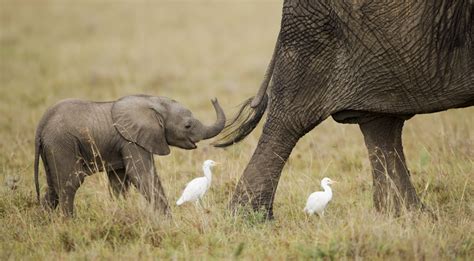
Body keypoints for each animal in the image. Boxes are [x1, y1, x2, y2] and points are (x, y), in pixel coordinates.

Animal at [33, 93, 226, 215]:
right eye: (187, 125)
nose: (213, 98)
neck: (153, 102)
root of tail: (41, 125)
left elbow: (119, 183)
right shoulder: (131, 140)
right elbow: (143, 176)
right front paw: (169, 222)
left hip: (53, 147)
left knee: (53, 187)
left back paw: (46, 222)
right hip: (61, 144)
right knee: (70, 184)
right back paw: (69, 222)